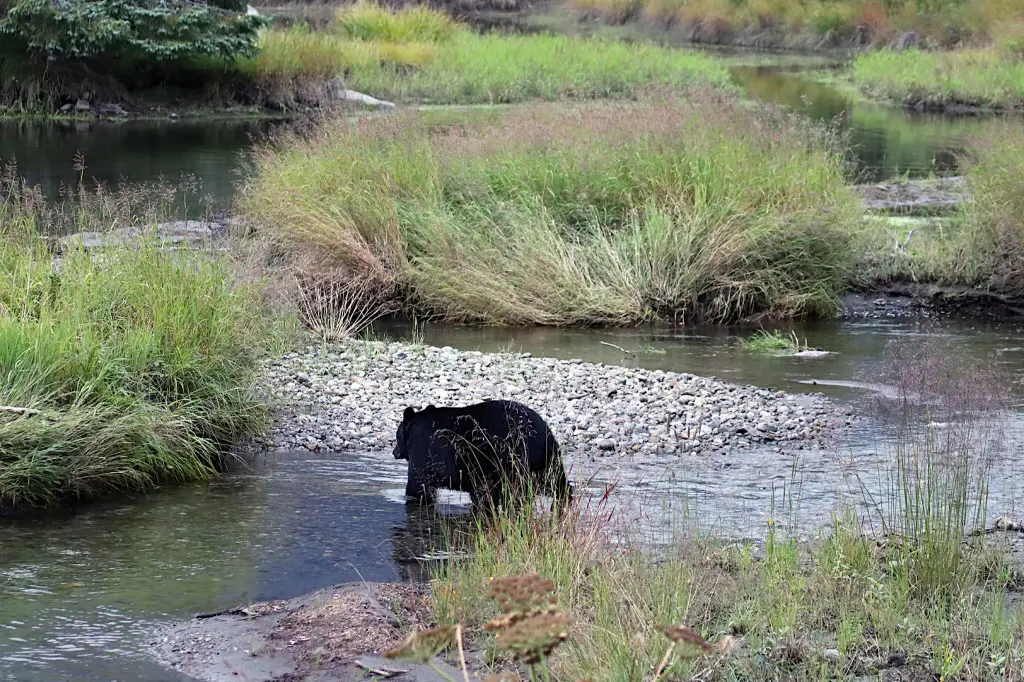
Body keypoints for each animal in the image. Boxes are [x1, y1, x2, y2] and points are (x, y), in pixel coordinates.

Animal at [393, 399, 572, 512]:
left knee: (515, 493)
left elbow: (418, 483)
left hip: (510, 461)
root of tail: (544, 434)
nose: (394, 452)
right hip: (547, 461)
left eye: (397, 436)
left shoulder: (423, 451)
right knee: (557, 482)